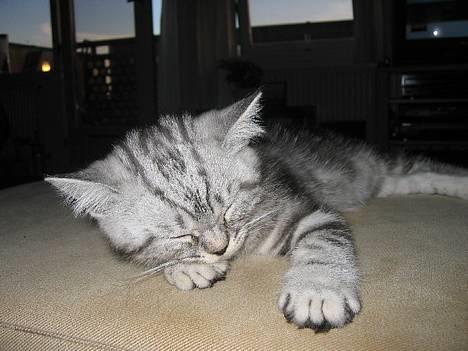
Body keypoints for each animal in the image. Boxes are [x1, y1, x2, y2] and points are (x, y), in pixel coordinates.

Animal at [45, 91, 468, 332]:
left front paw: (318, 288)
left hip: (361, 163)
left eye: (229, 207)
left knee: (421, 165)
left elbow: (324, 239)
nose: (219, 247)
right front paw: (184, 266)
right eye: (179, 233)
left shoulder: (307, 209)